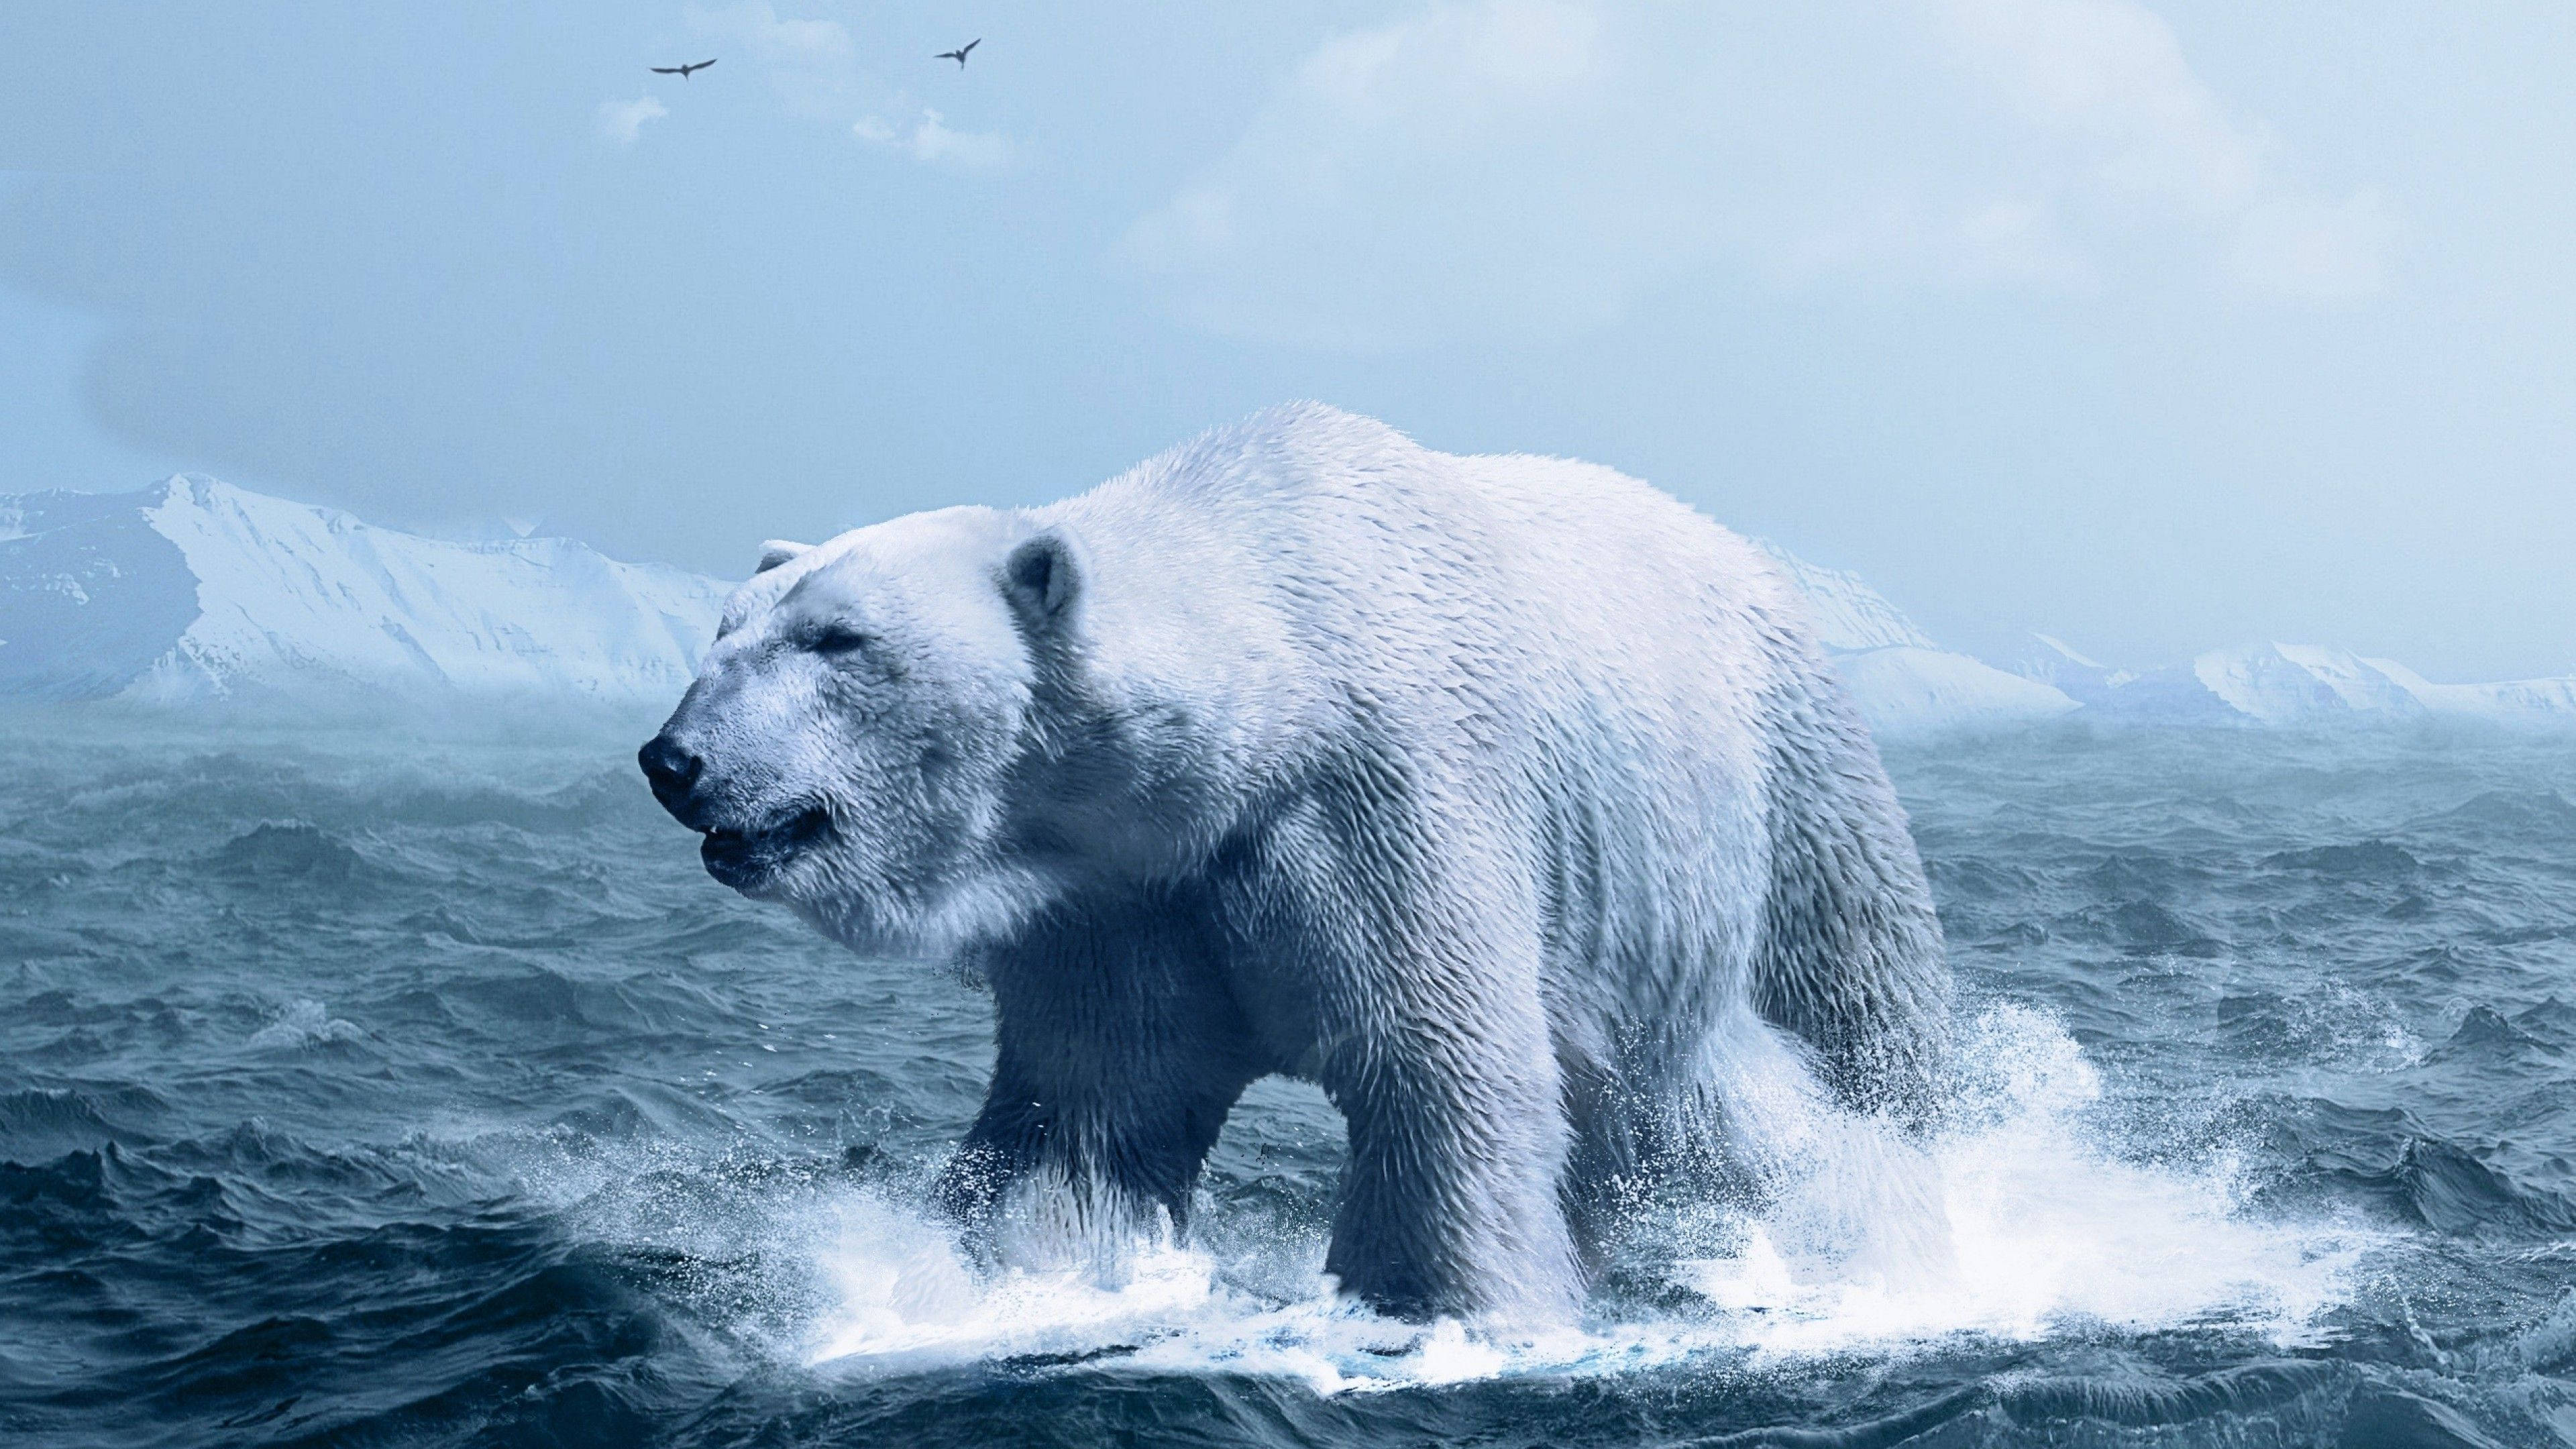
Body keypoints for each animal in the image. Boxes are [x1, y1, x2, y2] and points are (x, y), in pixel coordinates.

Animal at [639, 403, 1948, 1324]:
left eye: (838, 639)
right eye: (726, 629)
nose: (672, 759)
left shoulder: (1385, 802)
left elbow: (1438, 1069)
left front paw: (1438, 1309)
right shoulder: (1126, 895)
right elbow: (1088, 1113)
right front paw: (1000, 1278)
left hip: (1784, 777)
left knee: (1838, 1017)